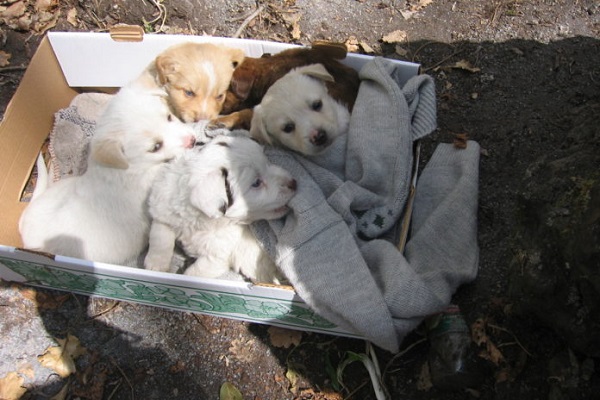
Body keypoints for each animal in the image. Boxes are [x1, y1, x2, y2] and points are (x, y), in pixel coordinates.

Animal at [144, 135, 296, 284]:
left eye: (267, 162)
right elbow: (160, 234)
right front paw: (156, 264)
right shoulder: (164, 207)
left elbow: (194, 273)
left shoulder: (217, 256)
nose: (294, 183)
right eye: (256, 183)